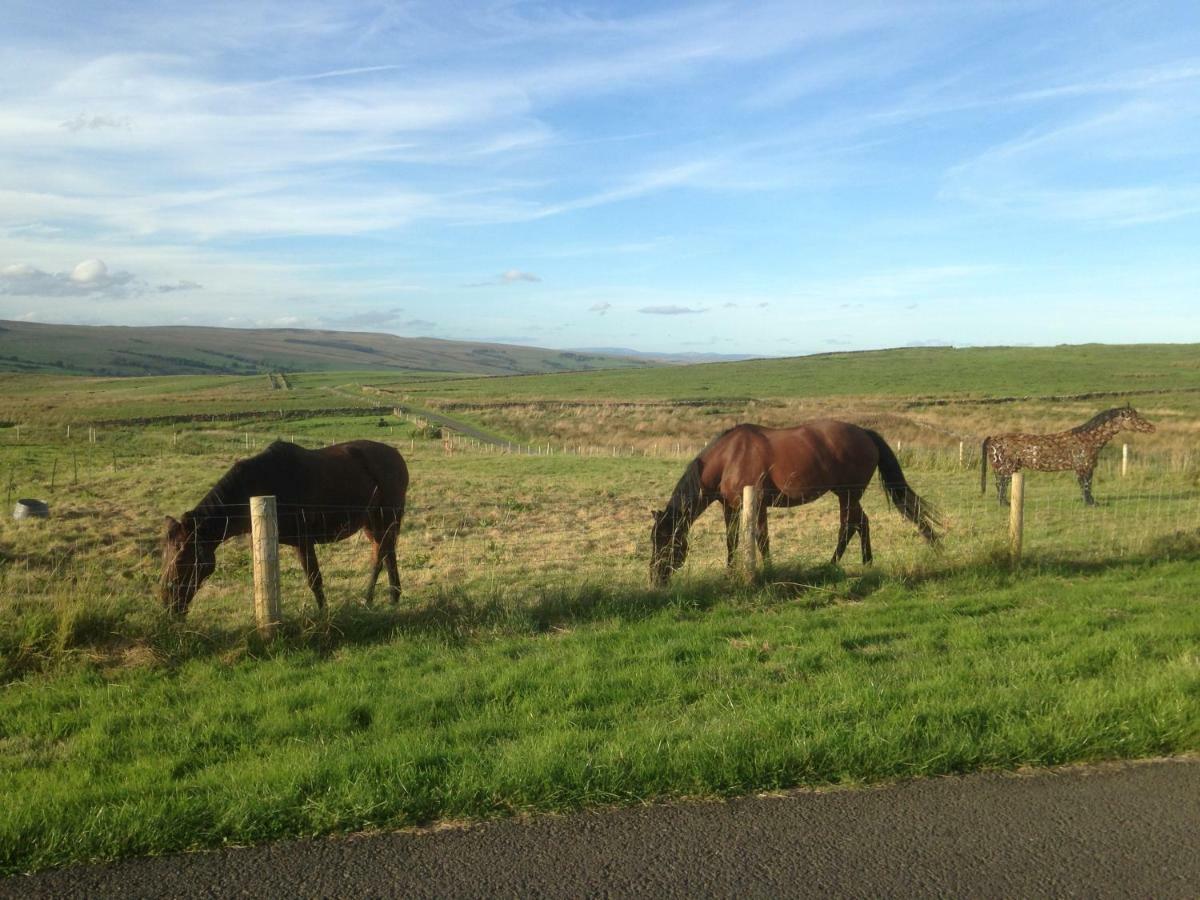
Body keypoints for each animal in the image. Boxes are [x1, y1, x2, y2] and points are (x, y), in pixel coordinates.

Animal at [162, 441, 410, 619]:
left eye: (182, 559)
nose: (167, 603)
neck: (256, 487)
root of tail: (397, 456)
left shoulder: (303, 541)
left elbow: (315, 580)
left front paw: (324, 615)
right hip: (372, 523)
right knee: (384, 554)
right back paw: (385, 598)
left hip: (386, 518)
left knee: (382, 555)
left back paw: (379, 598)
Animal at [652, 422, 940, 588]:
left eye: (666, 542)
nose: (656, 578)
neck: (729, 457)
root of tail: (866, 434)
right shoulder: (731, 507)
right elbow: (732, 540)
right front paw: (730, 574)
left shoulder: (757, 505)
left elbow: (761, 539)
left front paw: (769, 571)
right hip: (847, 495)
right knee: (860, 524)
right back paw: (863, 563)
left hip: (848, 494)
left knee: (851, 525)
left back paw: (836, 564)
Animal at [984, 408, 1152, 508]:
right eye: (1132, 418)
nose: (1151, 428)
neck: (1088, 439)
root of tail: (992, 438)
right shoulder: (1083, 467)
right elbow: (1086, 485)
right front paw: (1090, 503)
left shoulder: (1085, 468)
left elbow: (1086, 485)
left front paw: (1090, 502)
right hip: (1006, 468)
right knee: (1001, 484)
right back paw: (1004, 504)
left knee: (1001, 485)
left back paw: (1004, 502)